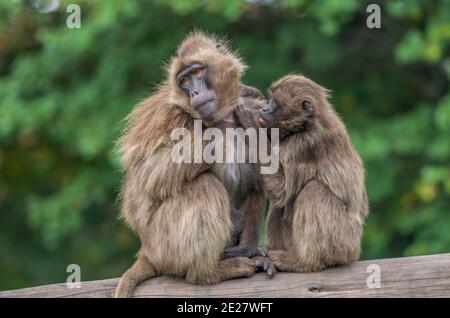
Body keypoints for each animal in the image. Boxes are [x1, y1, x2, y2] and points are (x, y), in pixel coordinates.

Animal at [114, 33, 268, 298]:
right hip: (163, 243)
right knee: (204, 185)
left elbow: (258, 183)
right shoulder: (169, 113)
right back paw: (206, 273)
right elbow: (148, 174)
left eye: (197, 72)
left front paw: (250, 248)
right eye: (184, 80)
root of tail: (146, 250)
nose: (195, 92)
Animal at [241, 74, 368, 274]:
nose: (264, 108)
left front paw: (248, 121)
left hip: (345, 242)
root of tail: (354, 253)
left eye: (274, 103)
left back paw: (305, 262)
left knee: (313, 191)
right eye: (269, 100)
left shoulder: (304, 145)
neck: (305, 125)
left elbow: (282, 192)